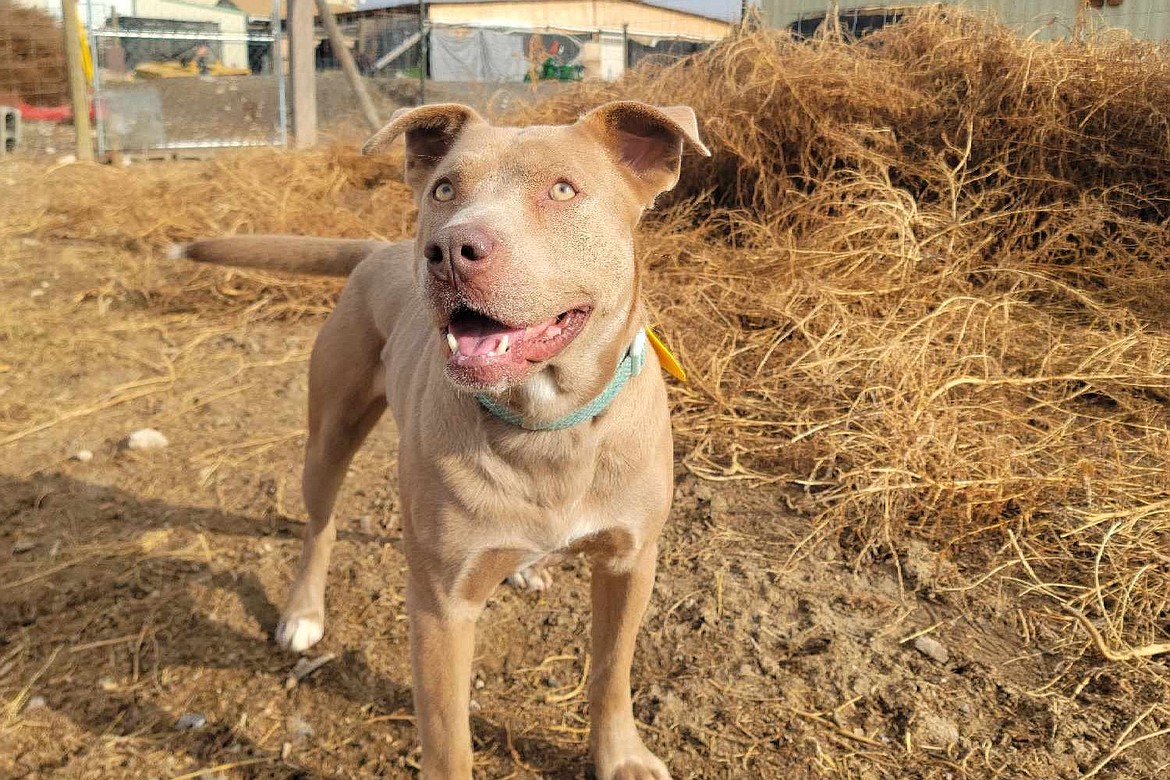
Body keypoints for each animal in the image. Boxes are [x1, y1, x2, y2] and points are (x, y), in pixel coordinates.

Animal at [176, 100, 706, 776]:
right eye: (445, 190)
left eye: (563, 190)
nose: (450, 247)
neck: (547, 423)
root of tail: (381, 249)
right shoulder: (440, 607)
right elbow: (449, 738)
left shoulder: (630, 560)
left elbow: (612, 669)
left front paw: (621, 756)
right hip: (330, 434)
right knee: (320, 527)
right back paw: (302, 613)